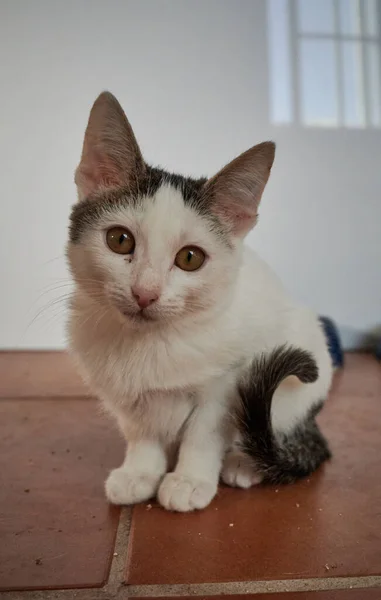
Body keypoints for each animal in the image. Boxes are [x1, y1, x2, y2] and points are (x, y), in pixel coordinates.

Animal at [67, 91, 332, 512]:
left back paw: (246, 463)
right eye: (119, 240)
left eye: (190, 258)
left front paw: (189, 479)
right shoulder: (124, 393)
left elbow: (204, 431)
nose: (145, 292)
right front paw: (140, 471)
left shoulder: (229, 381)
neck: (150, 344)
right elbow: (141, 430)